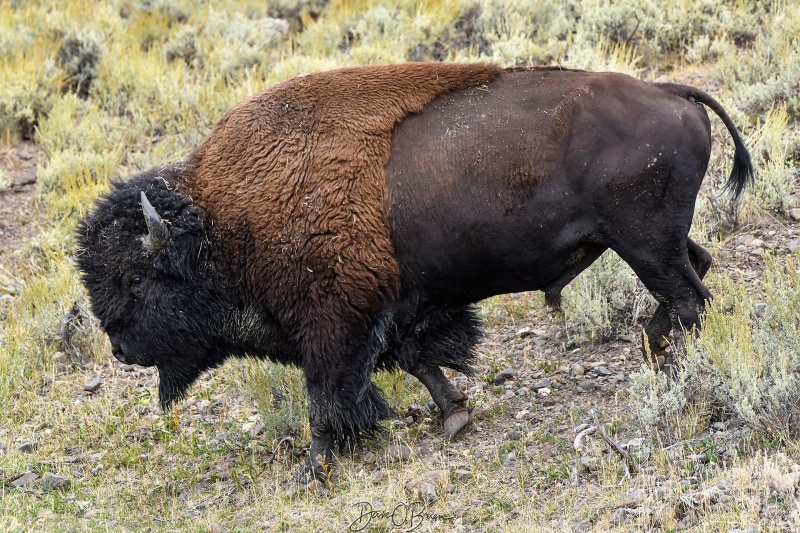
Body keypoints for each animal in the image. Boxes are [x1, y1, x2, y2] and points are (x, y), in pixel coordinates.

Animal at [73, 62, 752, 486]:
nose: (120, 347)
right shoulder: (395, 310)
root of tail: (673, 93)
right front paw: (454, 415)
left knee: (689, 296)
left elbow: (329, 400)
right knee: (695, 273)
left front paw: (311, 470)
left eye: (137, 280)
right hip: (647, 242)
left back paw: (673, 366)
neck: (224, 223)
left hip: (643, 243)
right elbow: (420, 361)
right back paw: (656, 349)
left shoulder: (333, 327)